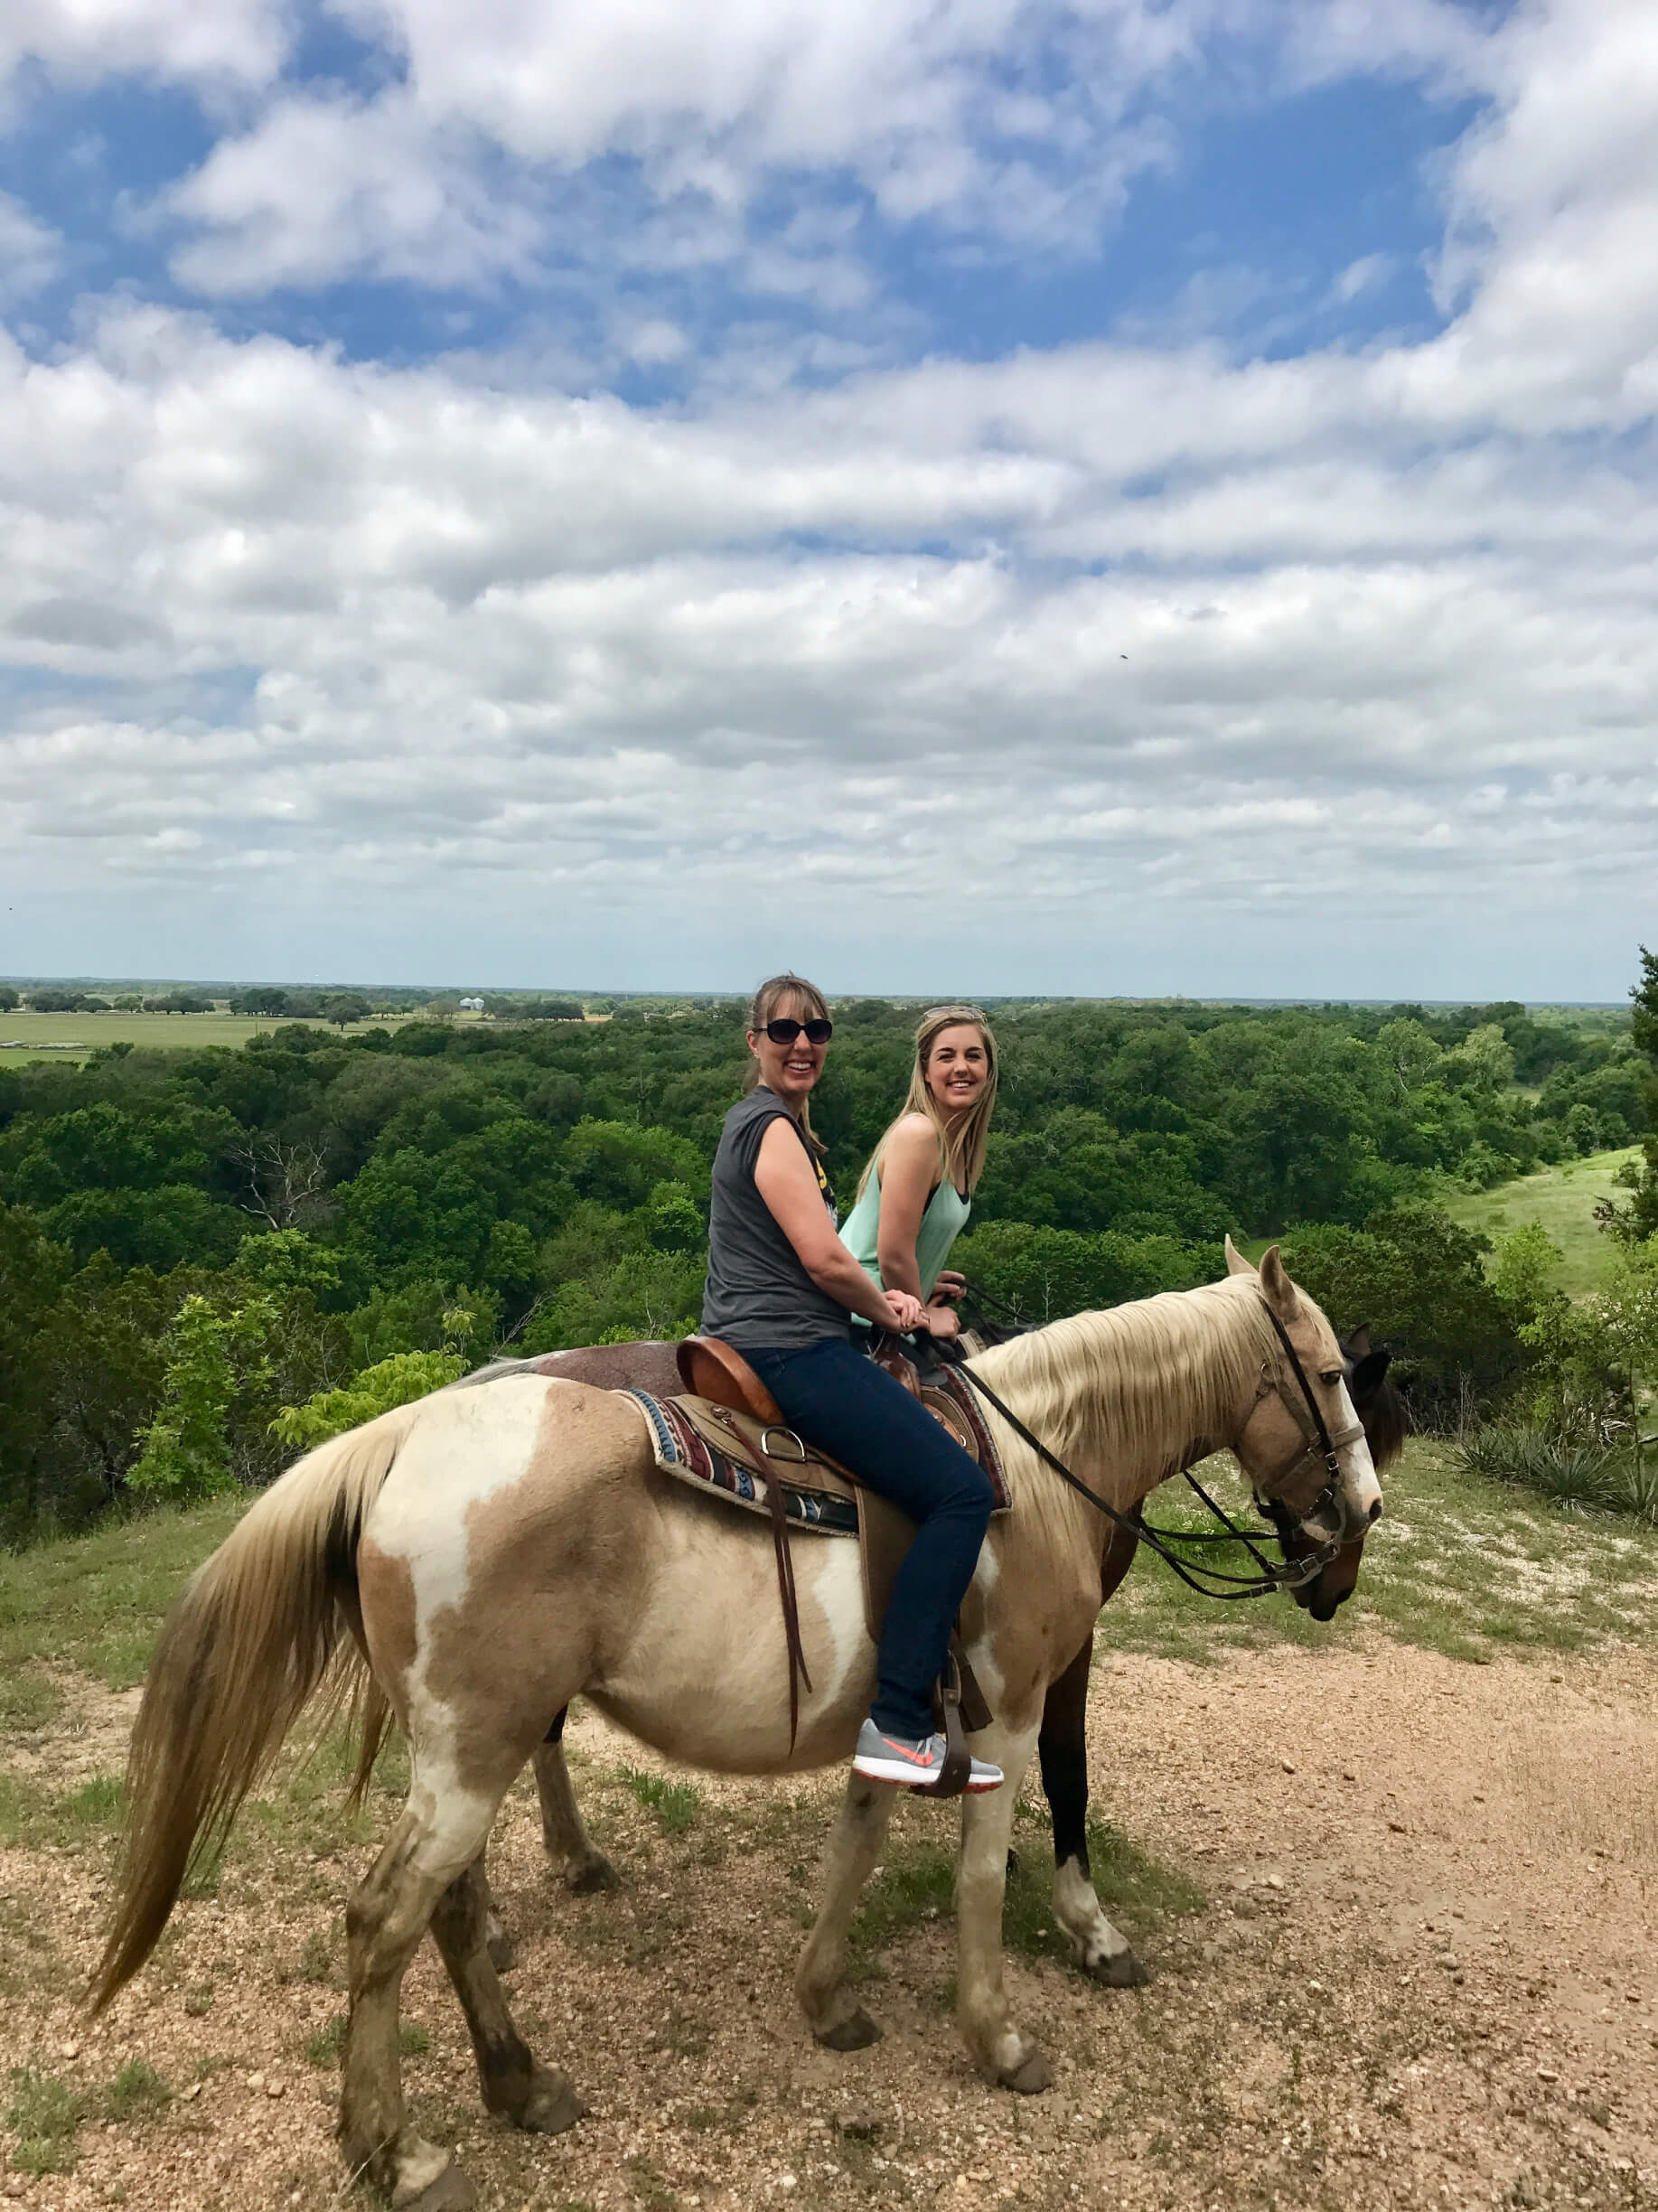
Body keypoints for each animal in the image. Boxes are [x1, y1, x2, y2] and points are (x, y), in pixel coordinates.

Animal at [97, 1247, 1379, 2212]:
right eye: (1326, 1374)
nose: (1360, 1517)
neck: (1036, 1474)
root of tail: (406, 1437)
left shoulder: (898, 1720)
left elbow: (856, 1845)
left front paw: (827, 2002)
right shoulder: (1013, 1713)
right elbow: (984, 1871)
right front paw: (1004, 2037)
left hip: (465, 1754)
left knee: (449, 1912)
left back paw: (519, 2086)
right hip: (469, 1754)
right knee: (381, 1924)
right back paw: (398, 2154)